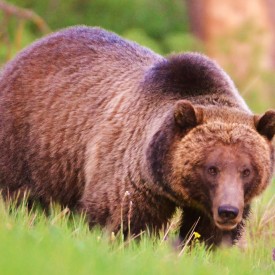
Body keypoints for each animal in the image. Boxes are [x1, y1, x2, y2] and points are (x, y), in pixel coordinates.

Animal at [0, 27, 275, 248]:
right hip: (26, 140)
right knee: (17, 196)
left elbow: (208, 235)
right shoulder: (131, 175)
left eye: (247, 170)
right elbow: (121, 220)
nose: (228, 211)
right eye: (212, 168)